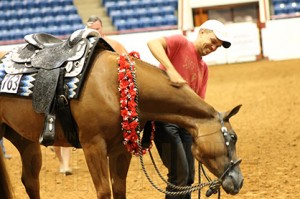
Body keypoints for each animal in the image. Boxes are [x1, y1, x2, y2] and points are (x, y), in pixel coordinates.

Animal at [0, 49, 243, 198]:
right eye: (231, 138)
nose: (238, 180)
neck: (112, 85)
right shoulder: (93, 146)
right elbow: (104, 191)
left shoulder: (121, 149)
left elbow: (119, 189)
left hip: (25, 141)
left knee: (30, 181)